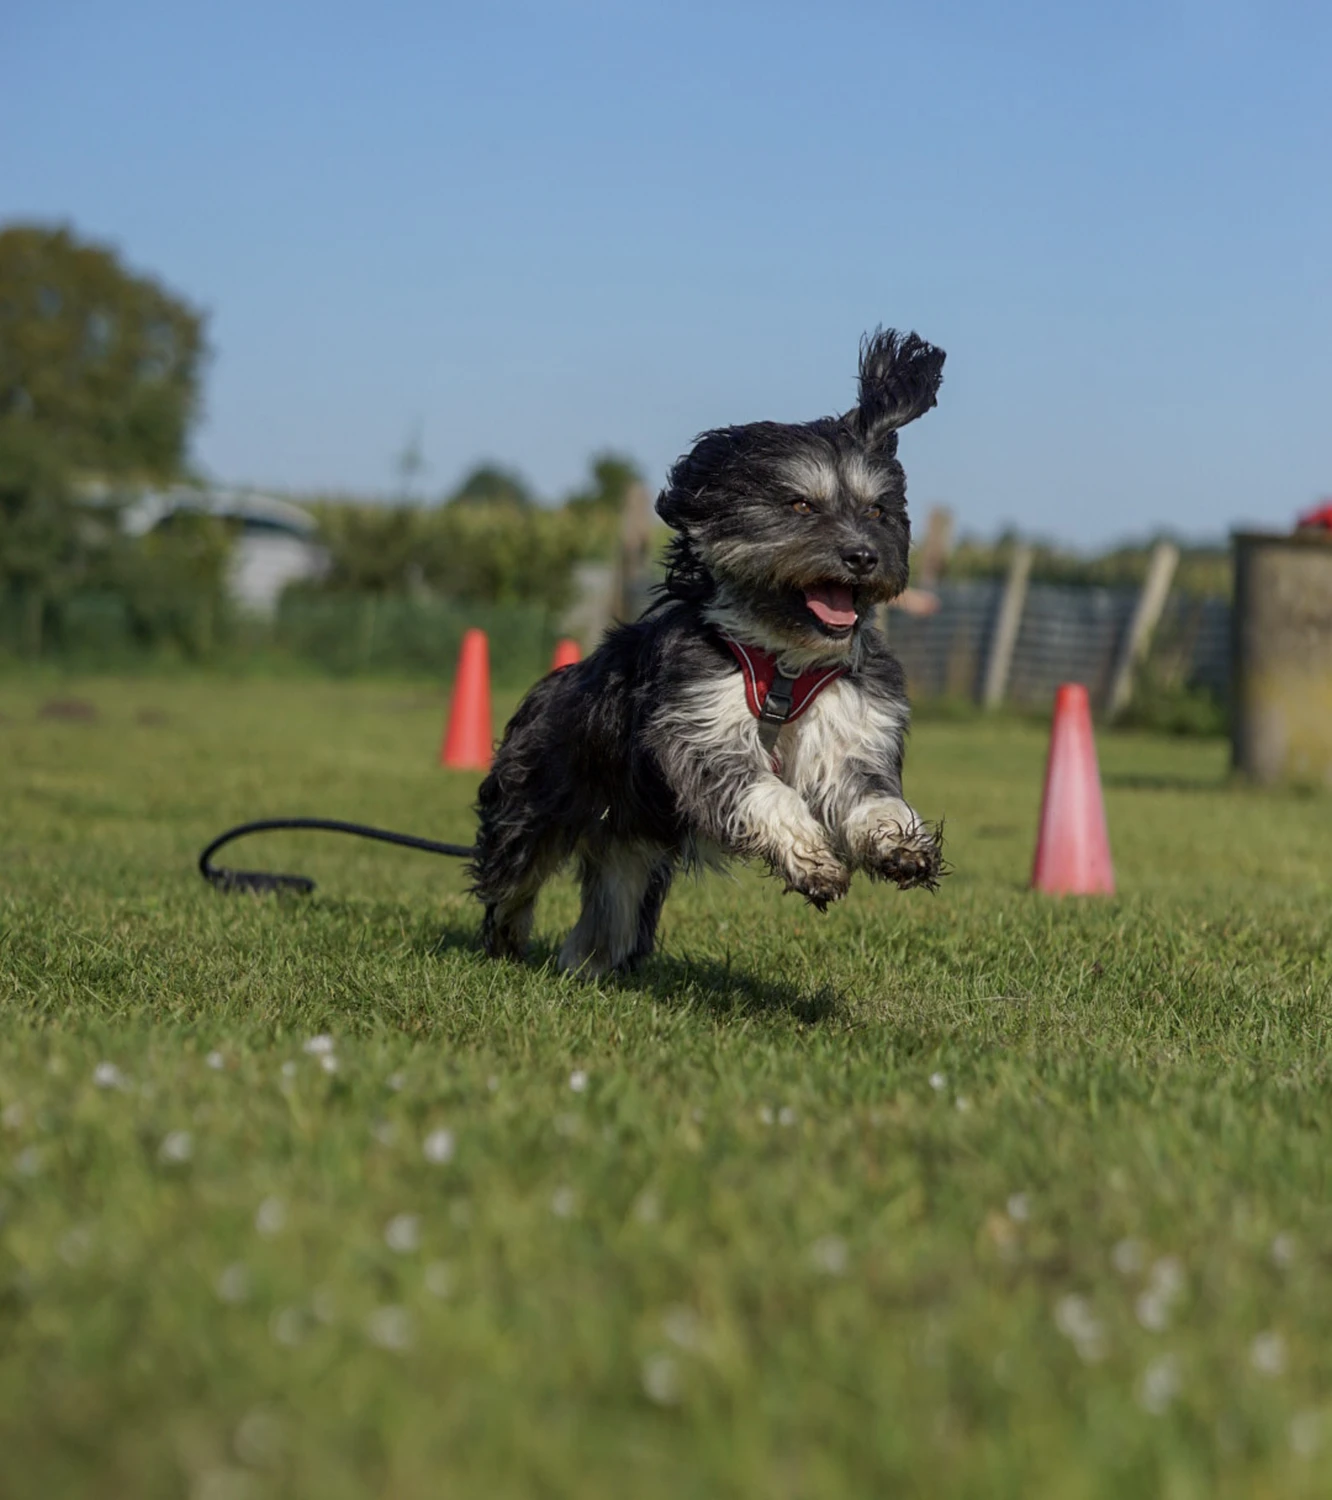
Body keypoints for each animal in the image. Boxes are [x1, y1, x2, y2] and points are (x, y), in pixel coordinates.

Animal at [468, 328, 948, 978]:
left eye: (877, 509)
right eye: (801, 505)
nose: (863, 557)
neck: (784, 661)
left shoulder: (849, 731)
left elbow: (871, 797)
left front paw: (900, 844)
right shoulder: (699, 729)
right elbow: (766, 791)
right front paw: (813, 862)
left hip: (629, 842)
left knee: (613, 907)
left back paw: (589, 965)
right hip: (534, 806)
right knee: (512, 879)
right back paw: (508, 943)